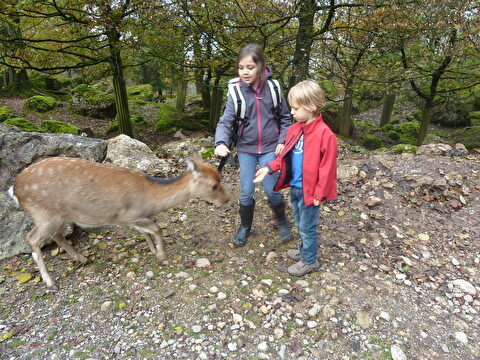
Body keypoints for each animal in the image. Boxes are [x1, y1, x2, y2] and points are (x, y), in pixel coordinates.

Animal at [8, 153, 230, 288]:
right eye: (214, 185)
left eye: (220, 178)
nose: (227, 199)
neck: (152, 199)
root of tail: (15, 190)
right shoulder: (128, 215)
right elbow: (157, 229)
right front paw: (161, 256)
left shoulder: (138, 218)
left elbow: (148, 232)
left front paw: (153, 250)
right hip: (45, 213)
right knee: (32, 239)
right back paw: (50, 281)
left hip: (59, 216)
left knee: (57, 236)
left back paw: (82, 258)